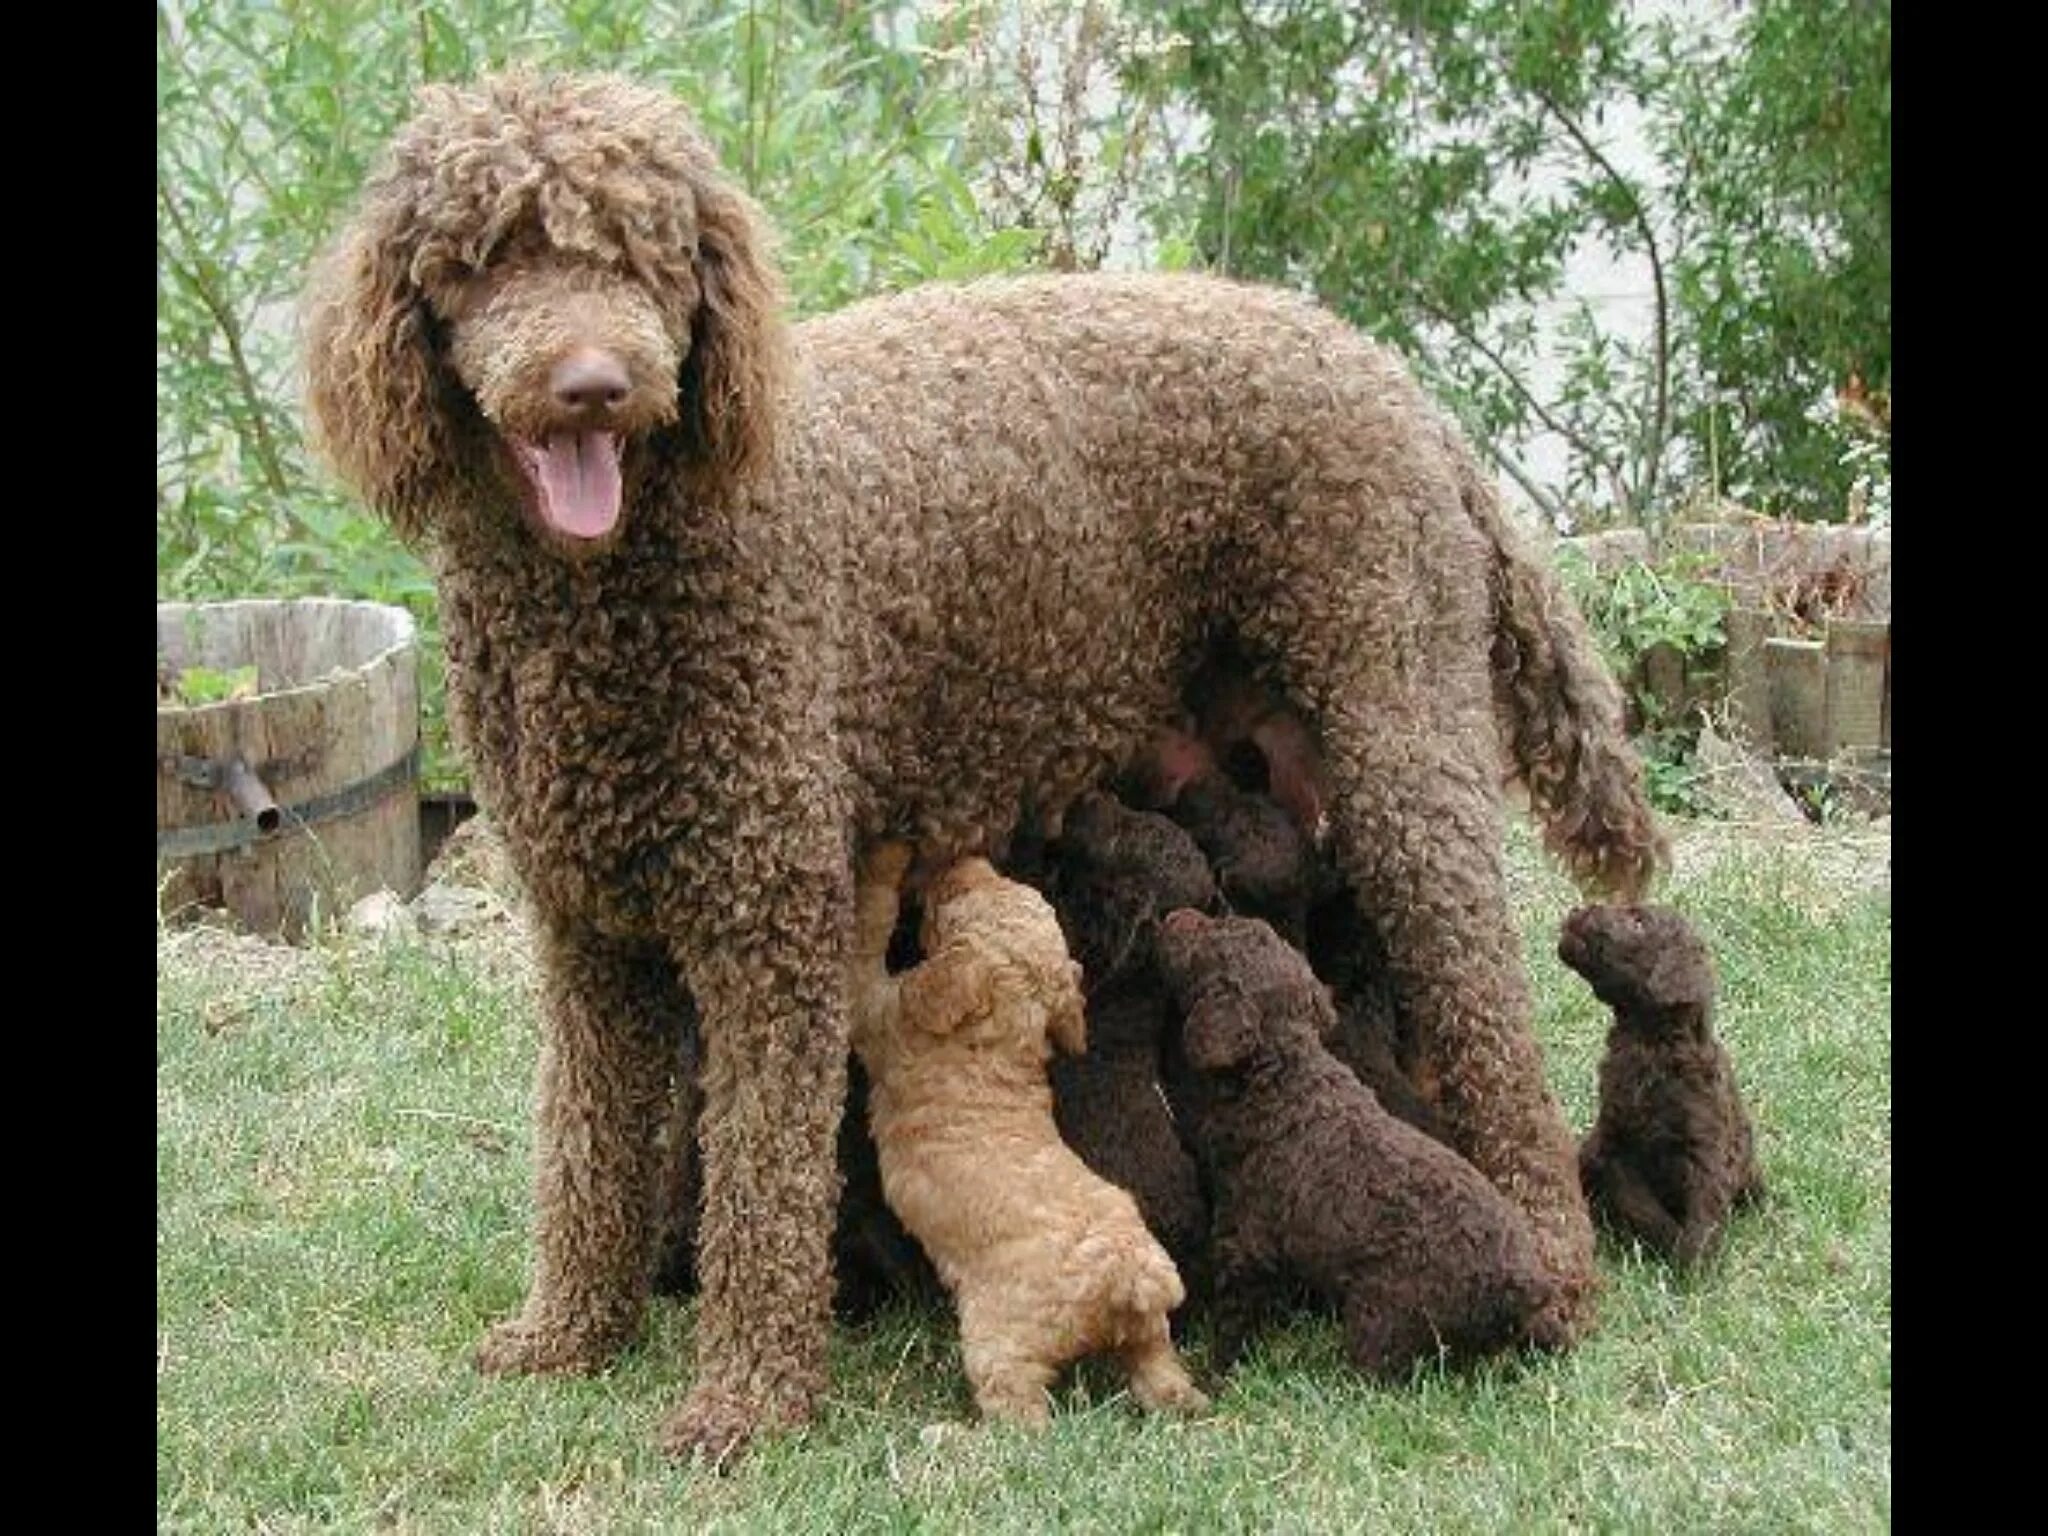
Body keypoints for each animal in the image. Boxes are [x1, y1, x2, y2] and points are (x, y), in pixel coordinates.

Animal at [1155, 913, 1564, 1384]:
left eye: (1211, 934)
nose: (1174, 915)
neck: (1282, 1071)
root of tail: (1522, 1284)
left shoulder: (1247, 1233)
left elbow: (1235, 1316)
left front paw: (1213, 1374)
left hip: (1386, 1313)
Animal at [1556, 909, 1769, 1269]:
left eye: (1639, 922)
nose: (1576, 911)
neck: (1651, 1045)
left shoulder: (1705, 1150)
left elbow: (1703, 1214)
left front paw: (1693, 1267)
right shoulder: (1615, 1148)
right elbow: (1642, 1207)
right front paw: (1668, 1247)